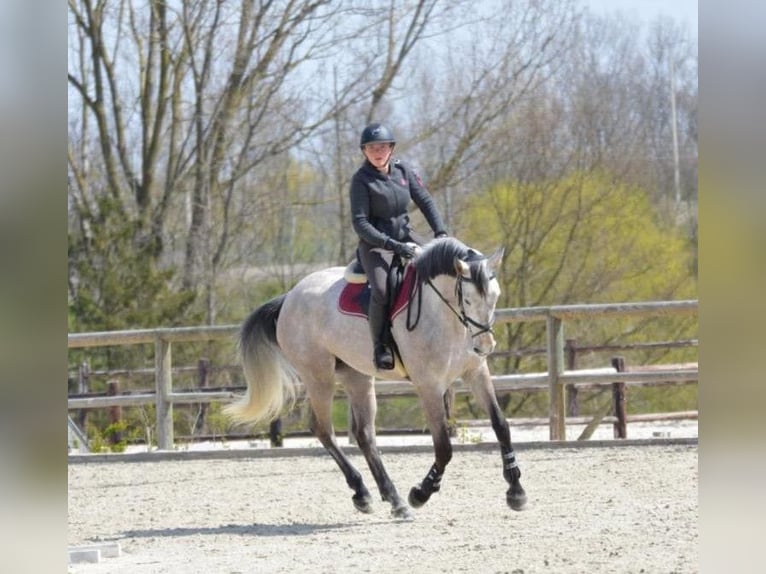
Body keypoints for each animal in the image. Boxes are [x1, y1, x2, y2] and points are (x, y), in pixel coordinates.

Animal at [224, 237, 527, 519]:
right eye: (468, 299)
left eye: (496, 296)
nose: (485, 346)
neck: (445, 316)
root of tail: (289, 297)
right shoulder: (429, 385)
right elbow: (443, 446)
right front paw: (421, 492)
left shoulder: (476, 373)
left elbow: (501, 425)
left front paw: (516, 492)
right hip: (319, 376)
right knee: (323, 429)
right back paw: (364, 492)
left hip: (356, 377)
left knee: (364, 435)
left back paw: (392, 499)